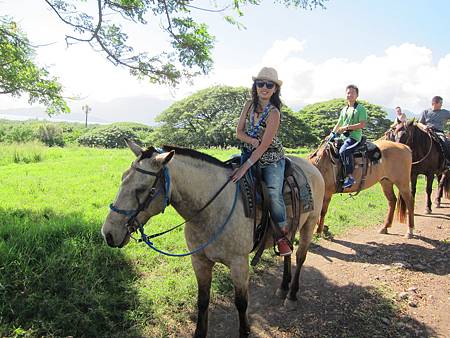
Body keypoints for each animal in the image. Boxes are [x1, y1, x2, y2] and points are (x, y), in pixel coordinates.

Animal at [101, 140, 324, 338]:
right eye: (123, 178)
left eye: (142, 189)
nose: (108, 233)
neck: (212, 208)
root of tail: (311, 167)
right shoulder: (199, 261)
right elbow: (202, 300)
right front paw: (199, 332)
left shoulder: (239, 264)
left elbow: (241, 303)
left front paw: (244, 331)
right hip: (290, 228)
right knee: (288, 252)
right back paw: (283, 286)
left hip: (309, 224)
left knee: (301, 257)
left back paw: (292, 295)